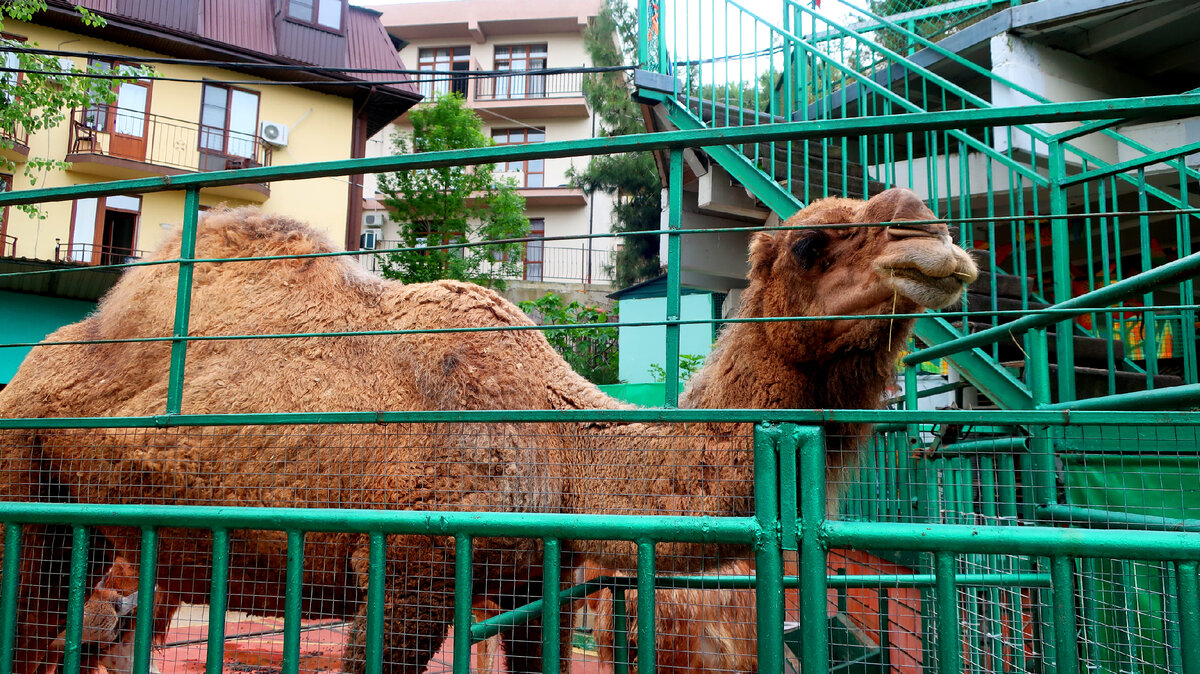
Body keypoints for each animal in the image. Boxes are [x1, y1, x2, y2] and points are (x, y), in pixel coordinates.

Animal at [0, 187, 974, 671]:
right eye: (811, 244)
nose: (933, 234)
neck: (563, 442)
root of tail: (30, 366)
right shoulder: (412, 569)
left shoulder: (537, 577)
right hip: (24, 472)